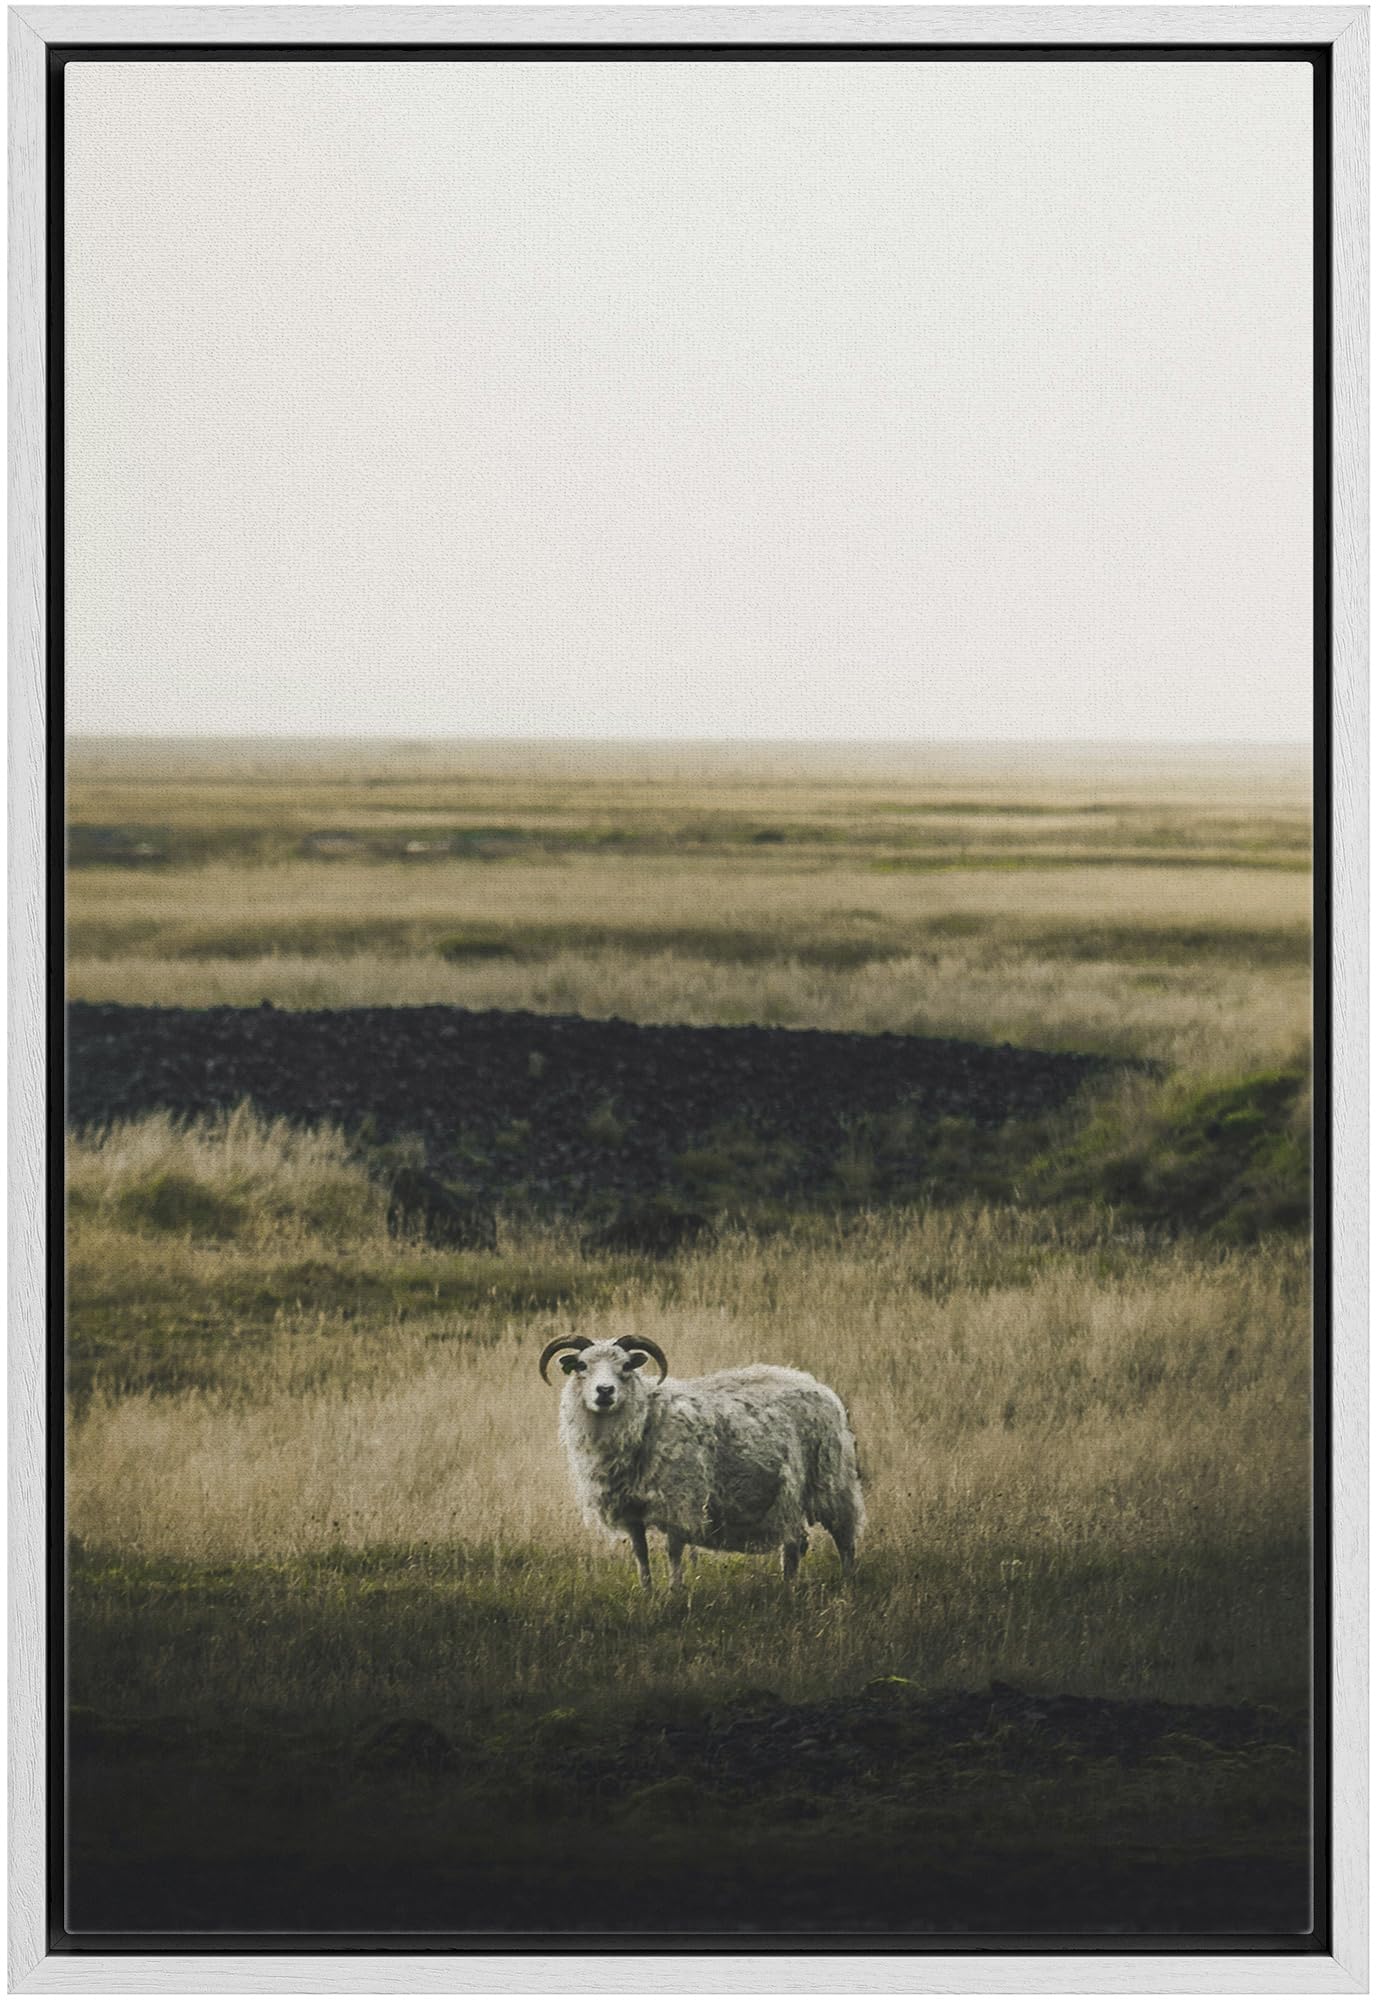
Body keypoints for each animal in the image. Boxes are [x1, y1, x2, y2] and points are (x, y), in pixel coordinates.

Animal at [538, 1333, 864, 1589]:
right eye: (582, 1366)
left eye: (626, 1366)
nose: (604, 1391)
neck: (646, 1418)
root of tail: (815, 1383)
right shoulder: (630, 1511)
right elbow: (640, 1554)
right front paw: (647, 1593)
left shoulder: (678, 1501)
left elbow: (673, 1551)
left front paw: (675, 1593)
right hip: (787, 1497)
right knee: (794, 1542)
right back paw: (788, 1585)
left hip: (832, 1480)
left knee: (844, 1536)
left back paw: (847, 1581)